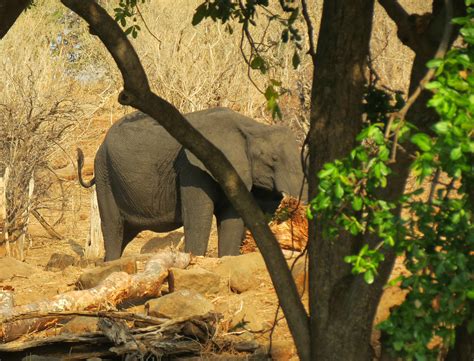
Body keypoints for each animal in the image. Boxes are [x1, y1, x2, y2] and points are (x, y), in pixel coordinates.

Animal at [78, 105, 304, 260]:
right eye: (273, 159)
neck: (251, 127)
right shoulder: (192, 167)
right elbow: (197, 217)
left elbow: (232, 217)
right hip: (105, 174)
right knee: (113, 227)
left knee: (126, 232)